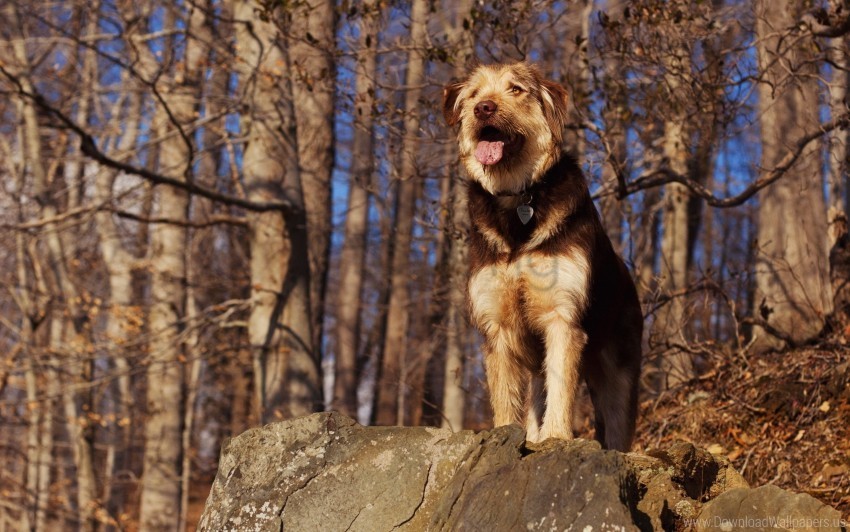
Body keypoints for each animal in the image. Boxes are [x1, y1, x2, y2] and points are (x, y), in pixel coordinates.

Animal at [440, 62, 640, 450]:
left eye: (516, 89)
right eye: (473, 94)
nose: (483, 108)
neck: (519, 198)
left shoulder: (562, 316)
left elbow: (561, 387)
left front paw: (556, 437)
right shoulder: (498, 325)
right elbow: (506, 396)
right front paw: (505, 435)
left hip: (619, 371)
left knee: (616, 421)